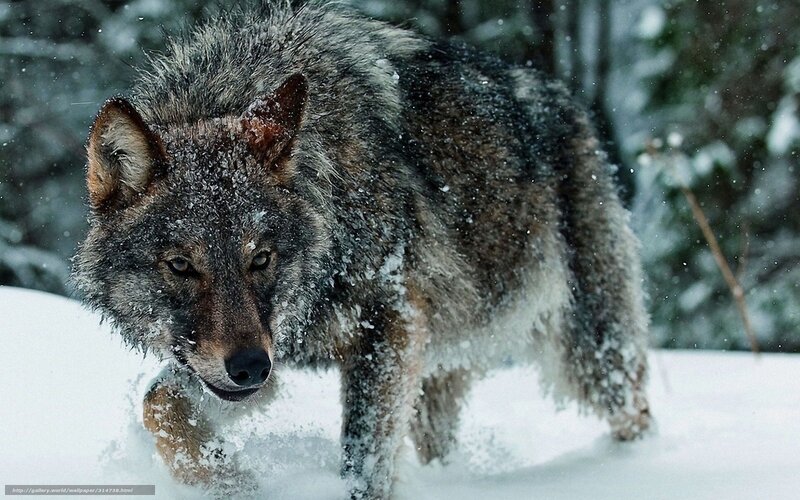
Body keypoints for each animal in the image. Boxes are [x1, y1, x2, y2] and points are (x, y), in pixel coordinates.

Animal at [74, 2, 651, 498]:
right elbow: (159, 402)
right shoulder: (262, 352)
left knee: (636, 411)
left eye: (260, 258)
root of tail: (568, 100)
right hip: (434, 380)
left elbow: (363, 461)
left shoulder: (386, 322)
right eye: (180, 265)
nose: (250, 369)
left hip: (590, 353)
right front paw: (226, 480)